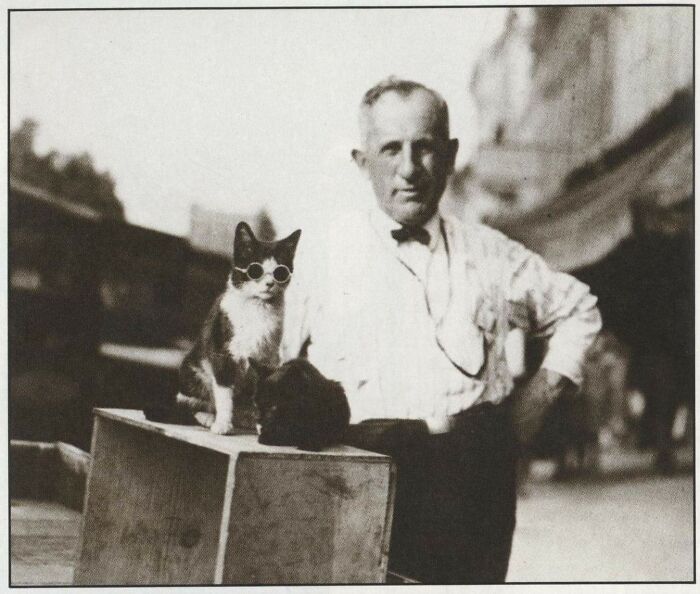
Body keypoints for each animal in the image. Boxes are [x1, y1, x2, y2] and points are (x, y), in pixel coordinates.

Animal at [145, 220, 300, 432]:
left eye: (280, 272)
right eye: (255, 270)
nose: (269, 283)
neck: (257, 308)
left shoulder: (269, 358)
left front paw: (261, 420)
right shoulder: (222, 354)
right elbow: (224, 394)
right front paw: (223, 424)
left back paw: (244, 418)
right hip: (193, 369)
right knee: (189, 405)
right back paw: (209, 417)